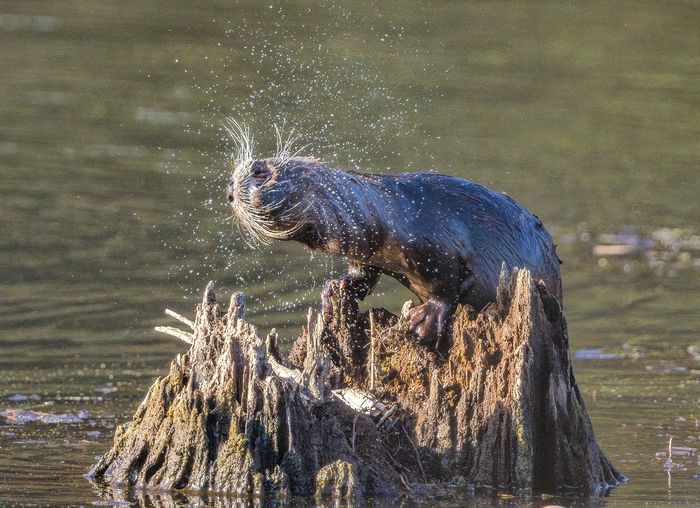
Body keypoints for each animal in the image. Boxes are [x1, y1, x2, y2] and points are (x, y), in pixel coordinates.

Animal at [225, 126, 562, 347]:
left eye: (259, 172)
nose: (229, 190)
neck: (384, 214)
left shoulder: (438, 245)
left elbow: (448, 286)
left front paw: (423, 320)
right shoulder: (365, 251)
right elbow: (362, 274)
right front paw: (336, 288)